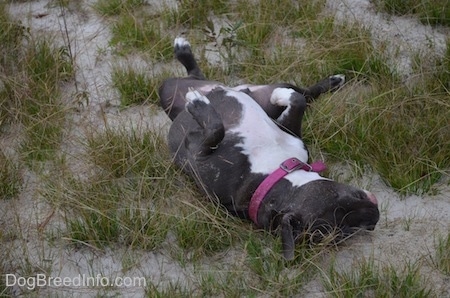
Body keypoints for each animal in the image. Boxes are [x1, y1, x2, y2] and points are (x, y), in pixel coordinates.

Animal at [159, 37, 380, 260]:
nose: (375, 217)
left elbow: (295, 102)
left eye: (347, 231)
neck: (273, 172)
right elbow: (295, 102)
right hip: (169, 90)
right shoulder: (199, 152)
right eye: (339, 200)